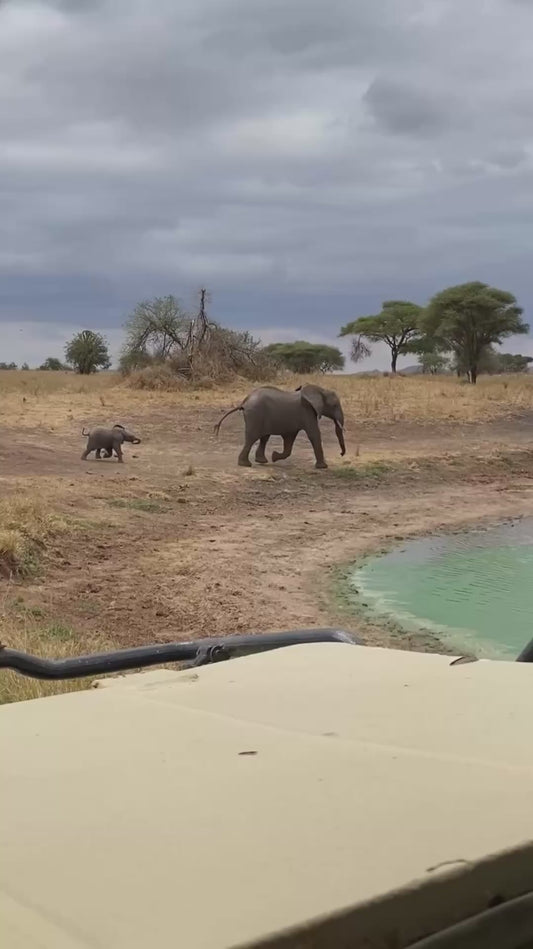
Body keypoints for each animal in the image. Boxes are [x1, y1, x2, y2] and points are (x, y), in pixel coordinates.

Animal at [214, 384, 346, 469]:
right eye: (334, 405)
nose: (341, 454)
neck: (320, 390)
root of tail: (244, 402)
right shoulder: (307, 412)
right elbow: (314, 435)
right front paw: (323, 467)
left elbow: (289, 439)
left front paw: (274, 456)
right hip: (255, 415)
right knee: (252, 438)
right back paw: (246, 464)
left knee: (264, 437)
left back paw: (262, 461)